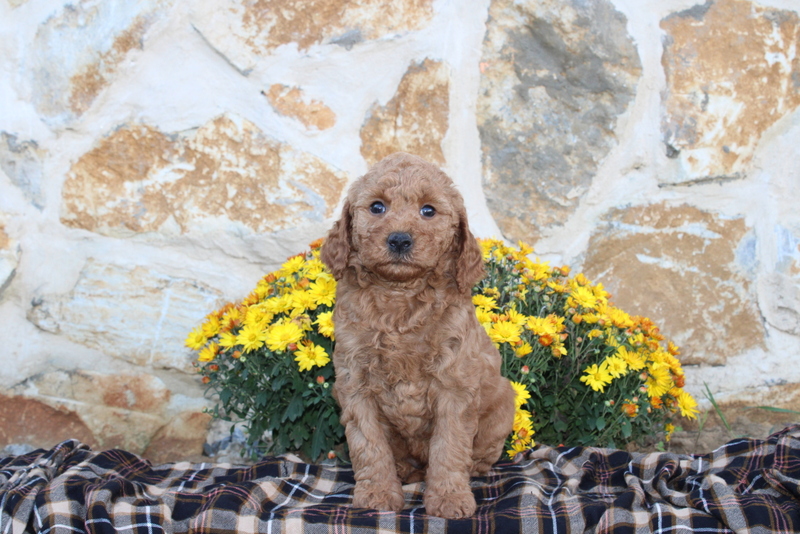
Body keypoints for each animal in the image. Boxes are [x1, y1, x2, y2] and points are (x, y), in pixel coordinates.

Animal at [322, 153, 516, 520]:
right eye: (377, 207)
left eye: (428, 210)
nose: (399, 239)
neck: (399, 295)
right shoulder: (355, 384)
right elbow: (368, 444)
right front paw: (377, 494)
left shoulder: (454, 384)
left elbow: (450, 446)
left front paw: (450, 497)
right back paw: (404, 472)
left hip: (503, 404)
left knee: (479, 456)